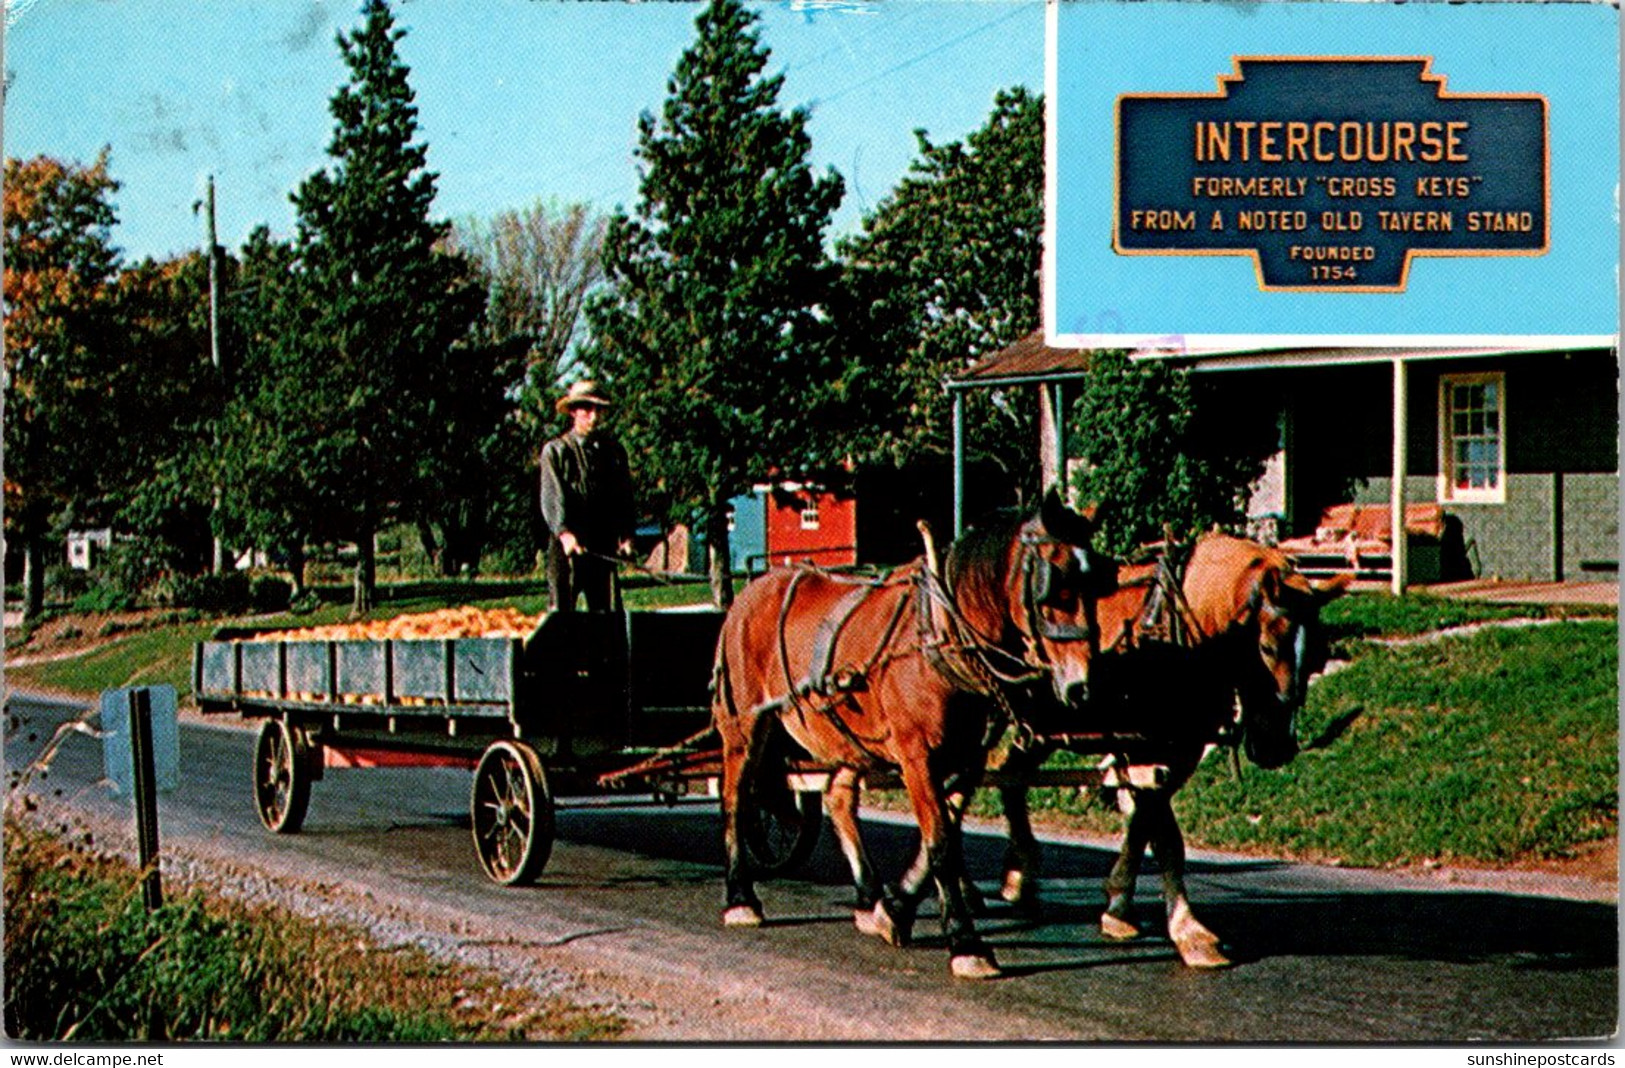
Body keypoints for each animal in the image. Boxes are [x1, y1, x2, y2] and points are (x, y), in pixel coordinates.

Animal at [711, 490, 1118, 975]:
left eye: (1102, 585)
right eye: (1054, 587)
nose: (1083, 686)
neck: (942, 634)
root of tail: (748, 593)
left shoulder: (967, 758)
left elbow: (942, 837)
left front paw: (896, 909)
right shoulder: (917, 756)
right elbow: (940, 842)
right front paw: (965, 942)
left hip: (850, 736)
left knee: (838, 799)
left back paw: (869, 898)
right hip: (745, 726)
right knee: (737, 798)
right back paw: (740, 896)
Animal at [994, 529, 1352, 968]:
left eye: (1318, 655)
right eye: (1267, 648)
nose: (1277, 746)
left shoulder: (1179, 752)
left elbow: (1146, 824)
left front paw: (1118, 908)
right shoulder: (1149, 751)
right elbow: (1164, 835)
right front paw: (1189, 932)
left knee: (1008, 773)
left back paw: (1018, 875)